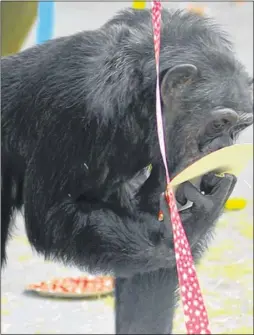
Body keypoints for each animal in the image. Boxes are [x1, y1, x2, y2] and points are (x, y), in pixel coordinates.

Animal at [0, 7, 253, 334]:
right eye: (219, 124)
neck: (138, 102)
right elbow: (53, 215)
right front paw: (184, 229)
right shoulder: (78, 109)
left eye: (239, 128)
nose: (225, 146)